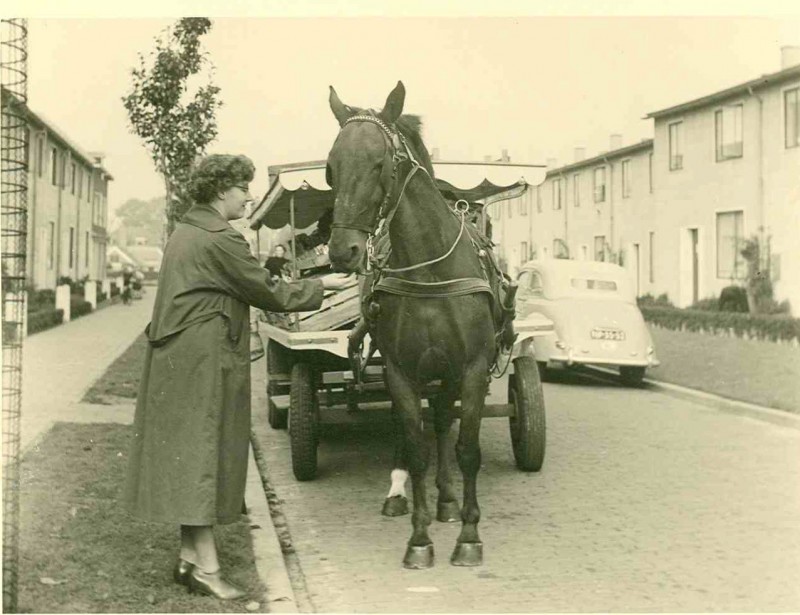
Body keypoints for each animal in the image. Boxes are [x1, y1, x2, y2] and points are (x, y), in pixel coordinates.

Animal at [324, 80, 500, 568]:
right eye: (331, 168)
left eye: (380, 163)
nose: (342, 251)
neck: (430, 271)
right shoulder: (402, 371)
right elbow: (417, 448)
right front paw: (419, 539)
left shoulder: (473, 368)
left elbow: (467, 450)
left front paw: (469, 535)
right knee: (420, 429)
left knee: (442, 422)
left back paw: (448, 502)